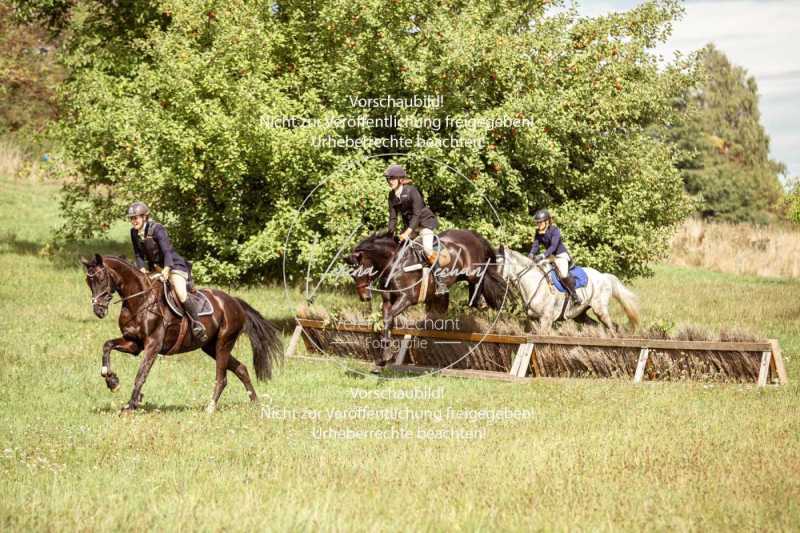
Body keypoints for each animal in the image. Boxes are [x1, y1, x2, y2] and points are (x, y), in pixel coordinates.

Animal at [81, 254, 282, 412]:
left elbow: (141, 374)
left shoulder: (152, 345)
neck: (140, 300)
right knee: (241, 369)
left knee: (222, 377)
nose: (98, 310)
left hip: (223, 343)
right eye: (88, 282)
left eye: (100, 278)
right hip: (210, 347)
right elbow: (107, 345)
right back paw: (255, 403)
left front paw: (131, 405)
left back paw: (210, 407)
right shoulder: (133, 344)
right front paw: (112, 381)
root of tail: (234, 302)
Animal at [344, 229, 506, 370]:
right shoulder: (388, 301)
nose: (364, 297)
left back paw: (481, 302)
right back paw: (477, 302)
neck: (395, 263)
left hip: (473, 271)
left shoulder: (406, 298)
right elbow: (386, 320)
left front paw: (385, 356)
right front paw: (382, 360)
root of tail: (473, 235)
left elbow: (388, 317)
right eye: (351, 274)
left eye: (360, 271)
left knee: (482, 278)